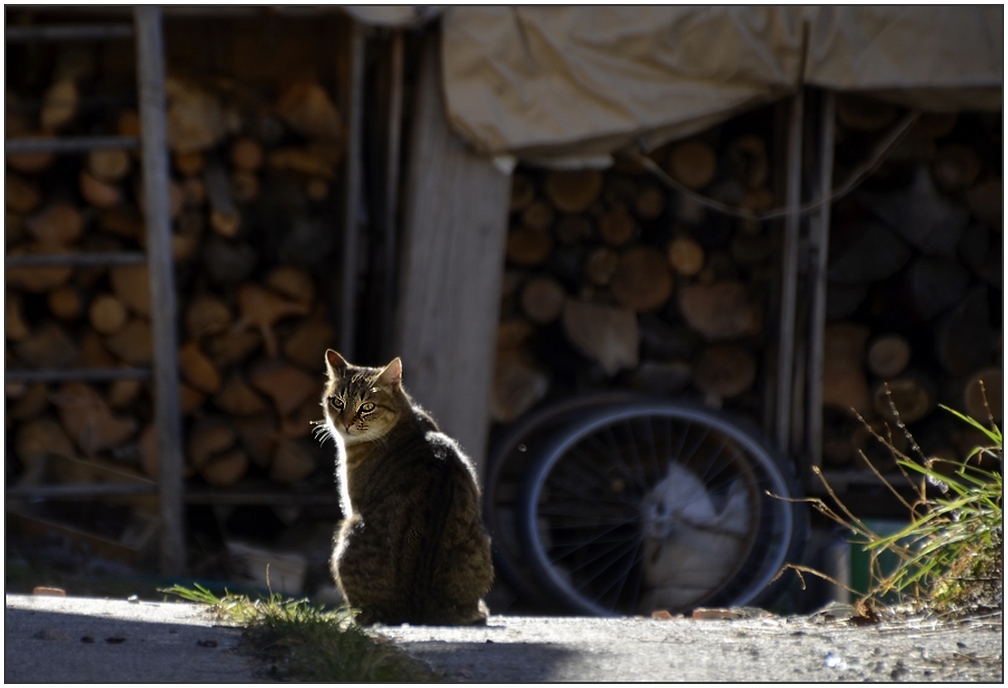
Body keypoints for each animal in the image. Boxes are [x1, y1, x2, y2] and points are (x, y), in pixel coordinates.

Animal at [312, 350, 489, 624]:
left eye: (367, 407)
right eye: (338, 402)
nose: (344, 423)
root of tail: (419, 610)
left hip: (346, 534)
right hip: (480, 541)